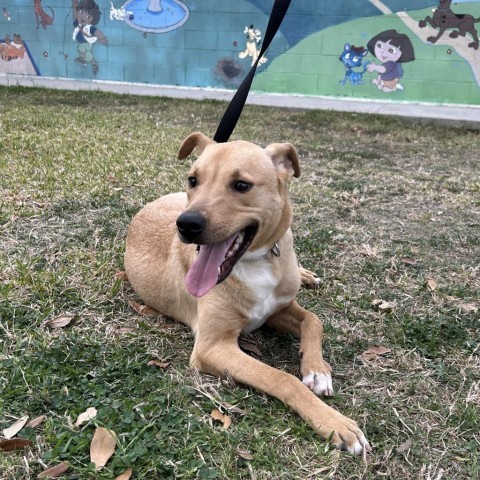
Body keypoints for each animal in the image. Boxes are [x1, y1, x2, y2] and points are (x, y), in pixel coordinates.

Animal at [124, 131, 372, 454]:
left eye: (242, 185)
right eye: (193, 180)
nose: (186, 224)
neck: (255, 261)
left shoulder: (276, 310)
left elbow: (314, 320)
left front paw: (317, 369)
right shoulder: (213, 347)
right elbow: (281, 377)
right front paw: (333, 422)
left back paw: (304, 274)